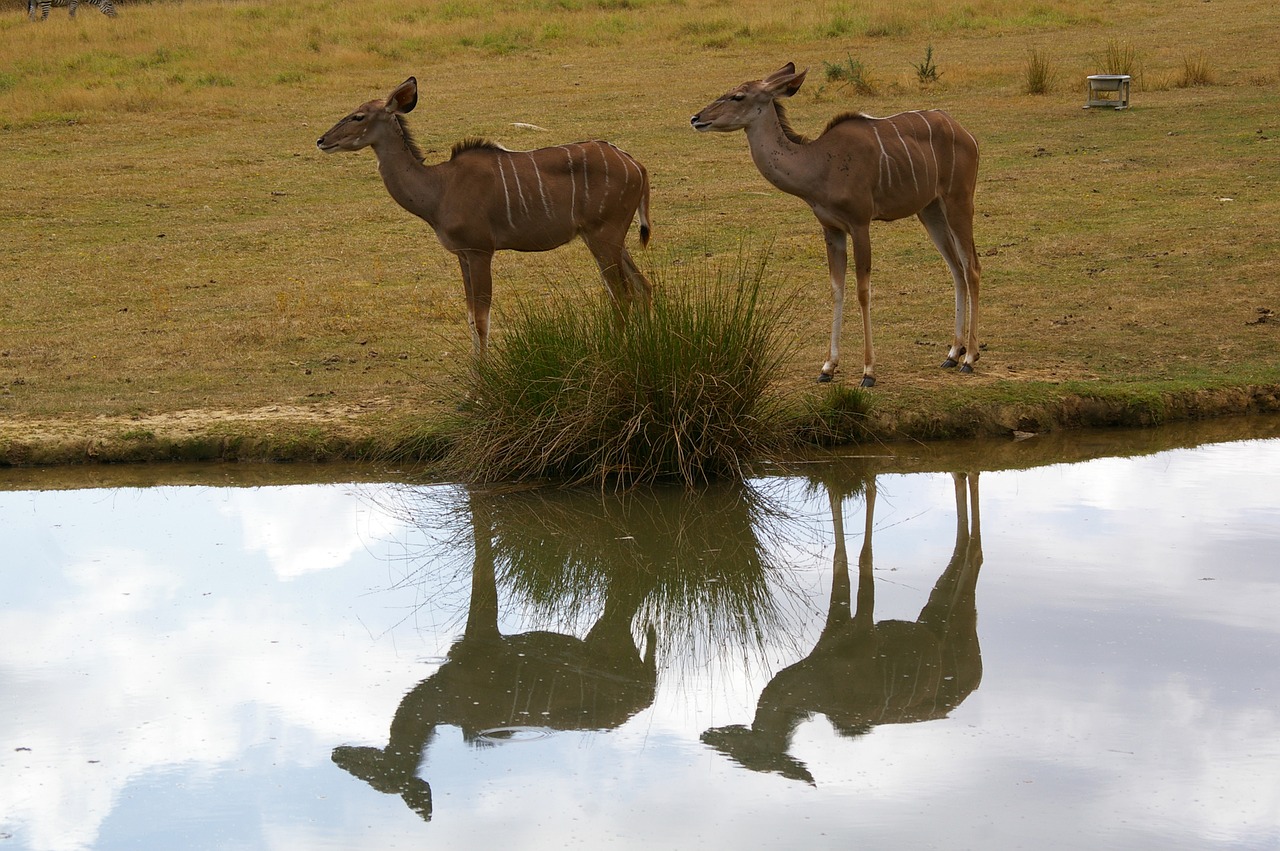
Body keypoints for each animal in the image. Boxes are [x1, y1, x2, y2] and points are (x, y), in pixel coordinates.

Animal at [316, 72, 655, 350]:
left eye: (358, 116)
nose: (321, 140)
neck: (440, 187)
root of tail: (637, 166)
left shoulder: (480, 250)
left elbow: (481, 320)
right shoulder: (463, 255)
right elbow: (470, 317)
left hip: (603, 236)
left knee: (623, 295)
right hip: (608, 239)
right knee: (643, 287)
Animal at [691, 62, 977, 383]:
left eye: (738, 96)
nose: (696, 118)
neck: (819, 165)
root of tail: (966, 134)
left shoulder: (860, 225)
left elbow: (863, 291)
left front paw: (868, 371)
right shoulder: (831, 229)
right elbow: (836, 289)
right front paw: (827, 367)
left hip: (959, 202)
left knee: (972, 267)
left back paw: (969, 357)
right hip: (930, 210)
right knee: (956, 269)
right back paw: (952, 354)